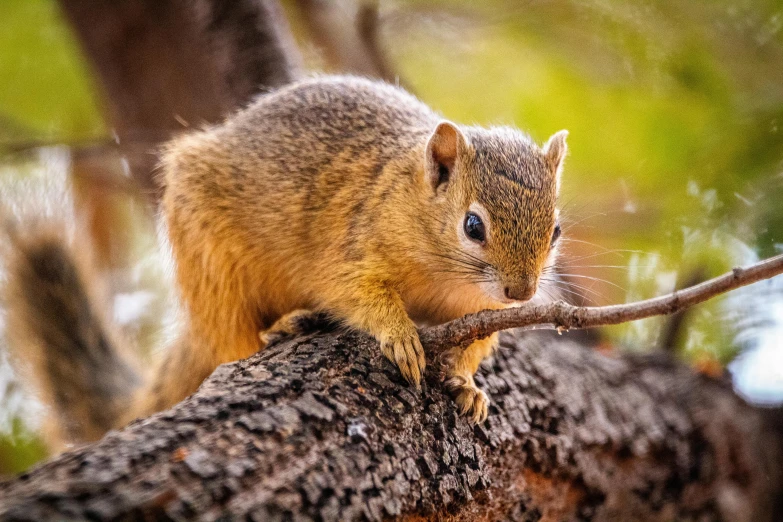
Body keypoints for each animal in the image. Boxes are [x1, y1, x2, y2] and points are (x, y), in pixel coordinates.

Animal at [3, 74, 568, 442]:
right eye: (473, 226)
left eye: (556, 230)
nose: (521, 292)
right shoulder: (352, 248)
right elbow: (359, 295)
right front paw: (400, 336)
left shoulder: (480, 311)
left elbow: (477, 343)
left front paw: (467, 383)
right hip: (212, 262)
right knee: (232, 338)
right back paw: (279, 328)